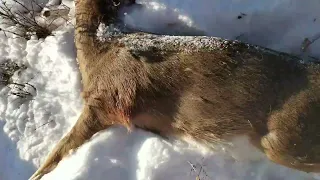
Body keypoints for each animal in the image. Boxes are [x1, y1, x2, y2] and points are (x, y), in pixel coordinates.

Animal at [29, 0, 320, 180]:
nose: (43, 12)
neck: (100, 47)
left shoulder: (109, 100)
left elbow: (58, 153)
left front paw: (36, 174)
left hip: (286, 138)